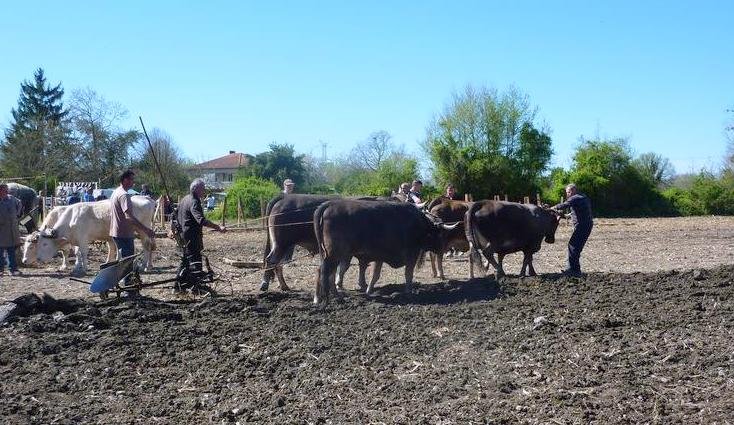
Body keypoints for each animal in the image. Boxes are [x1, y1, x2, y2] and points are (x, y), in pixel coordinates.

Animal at [22, 197, 157, 276]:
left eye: (44, 244)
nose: (24, 261)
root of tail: (144, 197)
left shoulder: (83, 239)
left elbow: (81, 253)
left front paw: (84, 268)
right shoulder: (75, 239)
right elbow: (76, 253)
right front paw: (76, 267)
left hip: (143, 230)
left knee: (146, 246)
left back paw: (144, 266)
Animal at [313, 199, 459, 305]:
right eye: (440, 233)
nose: (442, 249)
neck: (419, 224)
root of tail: (330, 204)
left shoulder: (380, 257)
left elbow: (375, 275)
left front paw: (369, 290)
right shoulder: (411, 255)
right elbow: (408, 275)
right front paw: (409, 293)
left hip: (333, 255)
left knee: (329, 273)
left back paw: (331, 297)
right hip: (334, 254)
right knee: (323, 271)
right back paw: (324, 298)